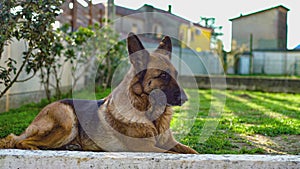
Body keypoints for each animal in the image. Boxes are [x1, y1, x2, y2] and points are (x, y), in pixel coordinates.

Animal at [0, 32, 198, 154]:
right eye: (163, 75)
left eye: (175, 75)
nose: (186, 98)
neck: (151, 116)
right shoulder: (145, 147)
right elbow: (175, 154)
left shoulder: (170, 143)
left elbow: (192, 151)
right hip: (67, 122)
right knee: (19, 141)